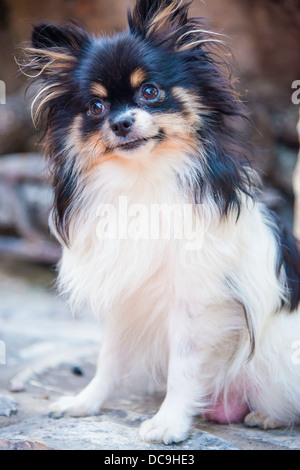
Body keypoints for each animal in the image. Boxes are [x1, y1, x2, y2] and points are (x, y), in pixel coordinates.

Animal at [21, 0, 300, 442]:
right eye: (96, 107)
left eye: (150, 91)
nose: (120, 123)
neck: (143, 177)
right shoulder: (124, 296)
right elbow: (109, 357)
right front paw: (86, 402)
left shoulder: (195, 302)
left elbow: (184, 368)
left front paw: (169, 422)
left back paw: (267, 416)